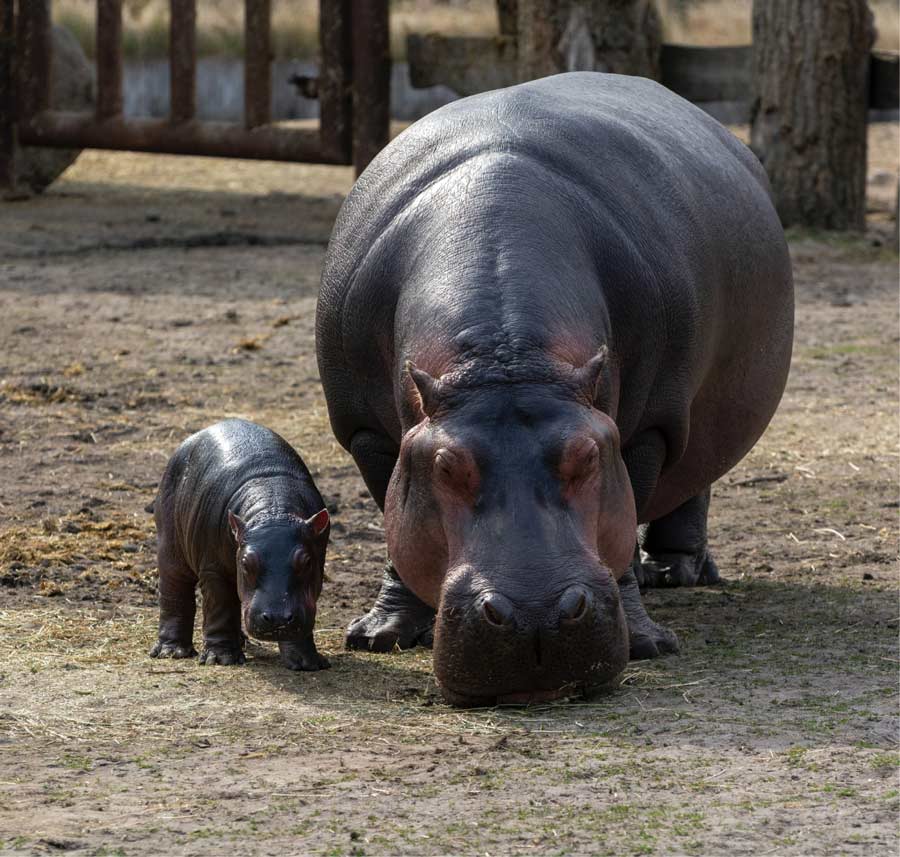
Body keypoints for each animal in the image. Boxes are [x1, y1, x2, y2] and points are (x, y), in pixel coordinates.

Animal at [149, 418, 332, 672]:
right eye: (246, 563)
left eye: (306, 562)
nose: (277, 618)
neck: (274, 506)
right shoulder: (213, 569)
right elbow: (220, 608)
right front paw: (221, 659)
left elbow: (303, 611)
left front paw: (307, 663)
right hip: (171, 546)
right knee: (175, 591)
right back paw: (172, 652)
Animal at [316, 72, 796, 704]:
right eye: (445, 466)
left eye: (588, 456)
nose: (534, 616)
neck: (506, 360)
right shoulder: (367, 430)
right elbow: (395, 520)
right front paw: (381, 635)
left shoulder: (647, 429)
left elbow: (627, 521)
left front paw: (646, 644)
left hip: (698, 410)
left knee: (696, 477)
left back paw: (674, 573)